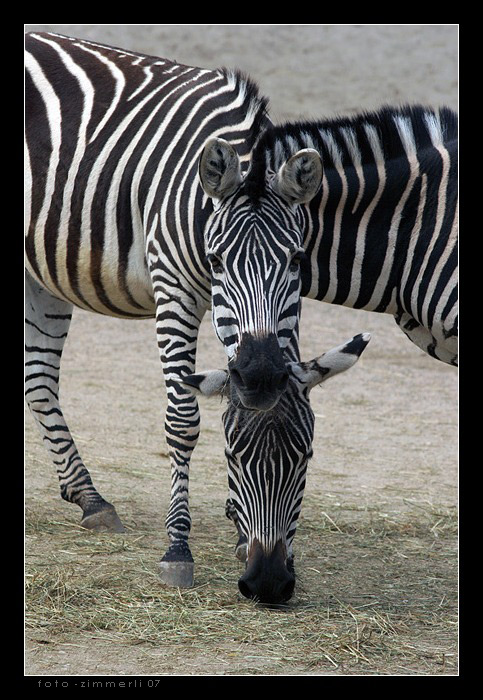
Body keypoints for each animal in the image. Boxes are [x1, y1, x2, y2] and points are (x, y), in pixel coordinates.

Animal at [25, 31, 322, 584]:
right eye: (217, 258)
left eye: (295, 259)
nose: (269, 579)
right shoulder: (175, 291)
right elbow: (182, 421)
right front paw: (178, 547)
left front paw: (240, 535)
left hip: (40, 270)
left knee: (37, 379)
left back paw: (90, 497)